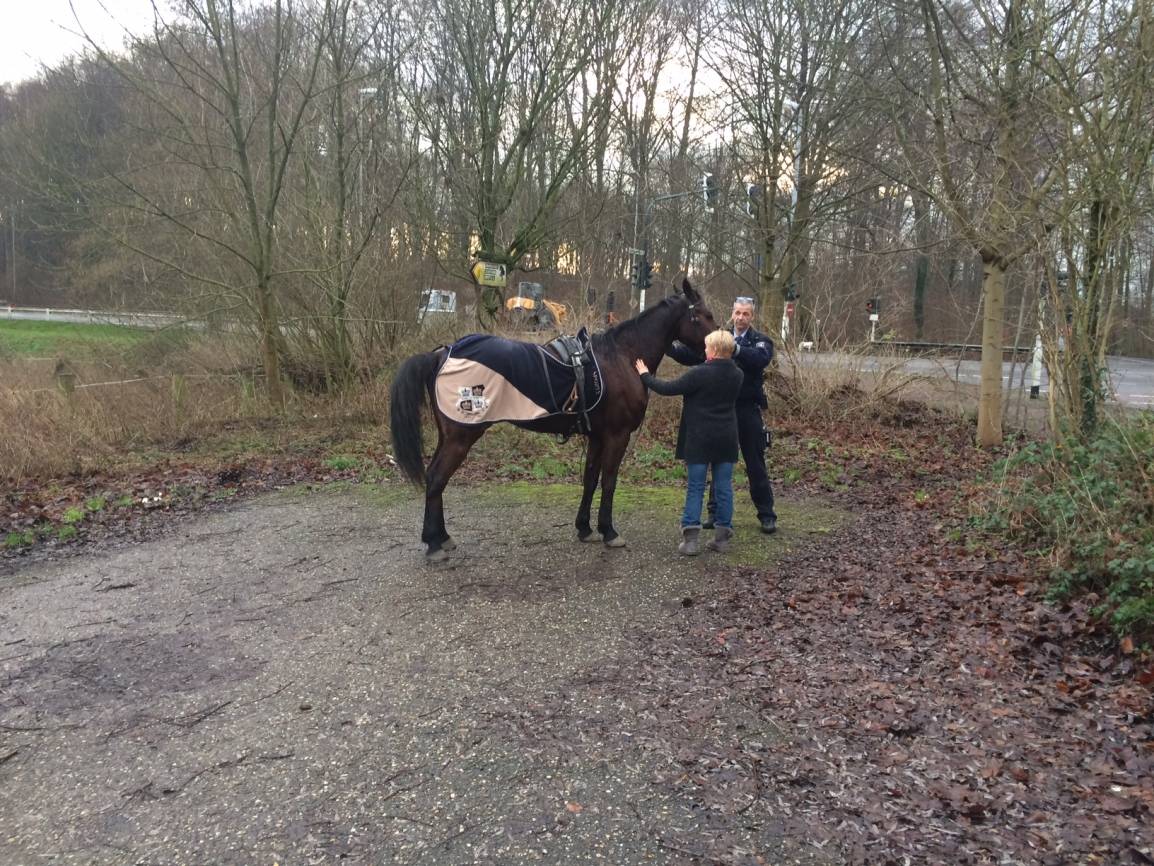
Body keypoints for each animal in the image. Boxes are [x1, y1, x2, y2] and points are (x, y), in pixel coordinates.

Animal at [389, 278, 717, 560]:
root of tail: (444, 352)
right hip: (461, 437)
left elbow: (590, 479)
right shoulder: (617, 435)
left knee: (435, 478)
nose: (717, 345)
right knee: (436, 478)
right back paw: (434, 545)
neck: (622, 357)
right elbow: (609, 481)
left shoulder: (597, 436)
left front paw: (585, 528)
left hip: (449, 436)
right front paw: (609, 531)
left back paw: (441, 537)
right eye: (703, 315)